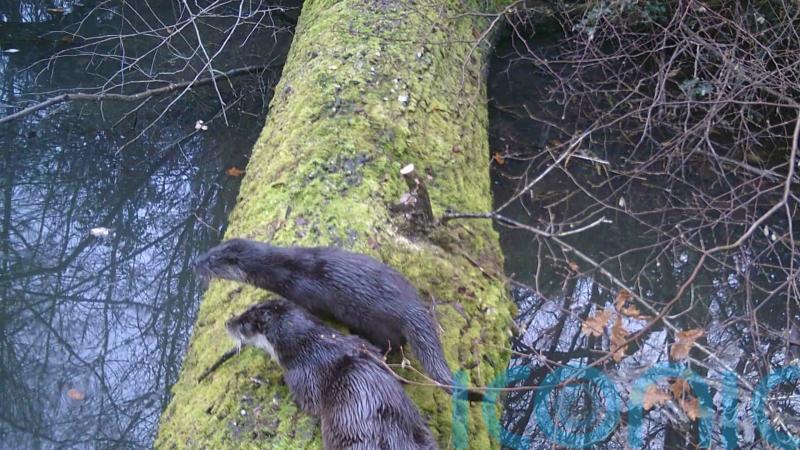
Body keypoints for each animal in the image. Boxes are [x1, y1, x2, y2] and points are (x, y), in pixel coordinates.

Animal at [195, 238, 482, 401]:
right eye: (211, 249)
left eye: (212, 260)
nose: (195, 261)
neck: (284, 271)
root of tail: (413, 308)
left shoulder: (305, 297)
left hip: (380, 325)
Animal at [226, 298, 438, 450]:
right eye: (246, 310)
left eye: (243, 324)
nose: (228, 322)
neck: (309, 346)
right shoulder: (362, 344)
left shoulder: (301, 377)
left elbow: (309, 404)